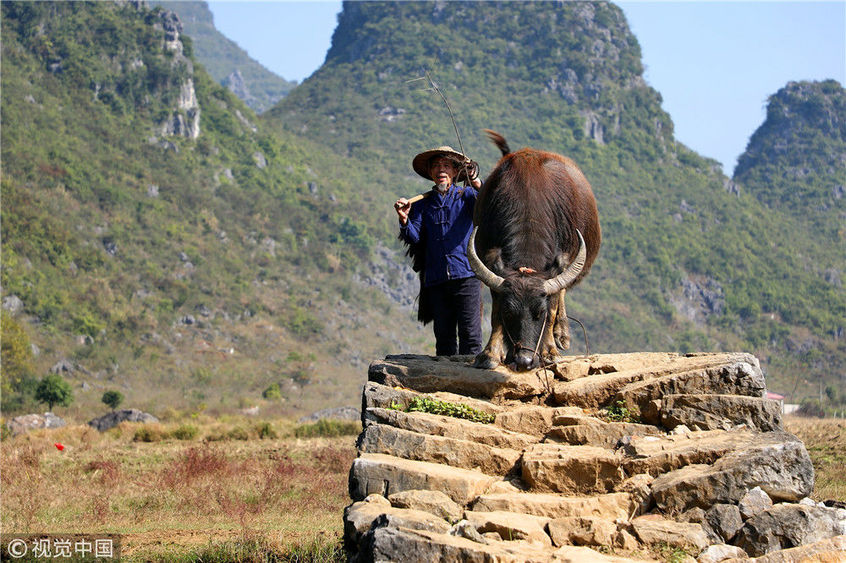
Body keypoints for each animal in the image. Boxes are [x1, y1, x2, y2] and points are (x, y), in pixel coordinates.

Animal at [467, 130, 601, 371]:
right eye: (510, 313)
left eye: (540, 313)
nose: (524, 361)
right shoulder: (492, 265)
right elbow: (494, 313)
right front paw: (490, 354)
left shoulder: (559, 264)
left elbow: (554, 304)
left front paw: (549, 351)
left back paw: (562, 334)